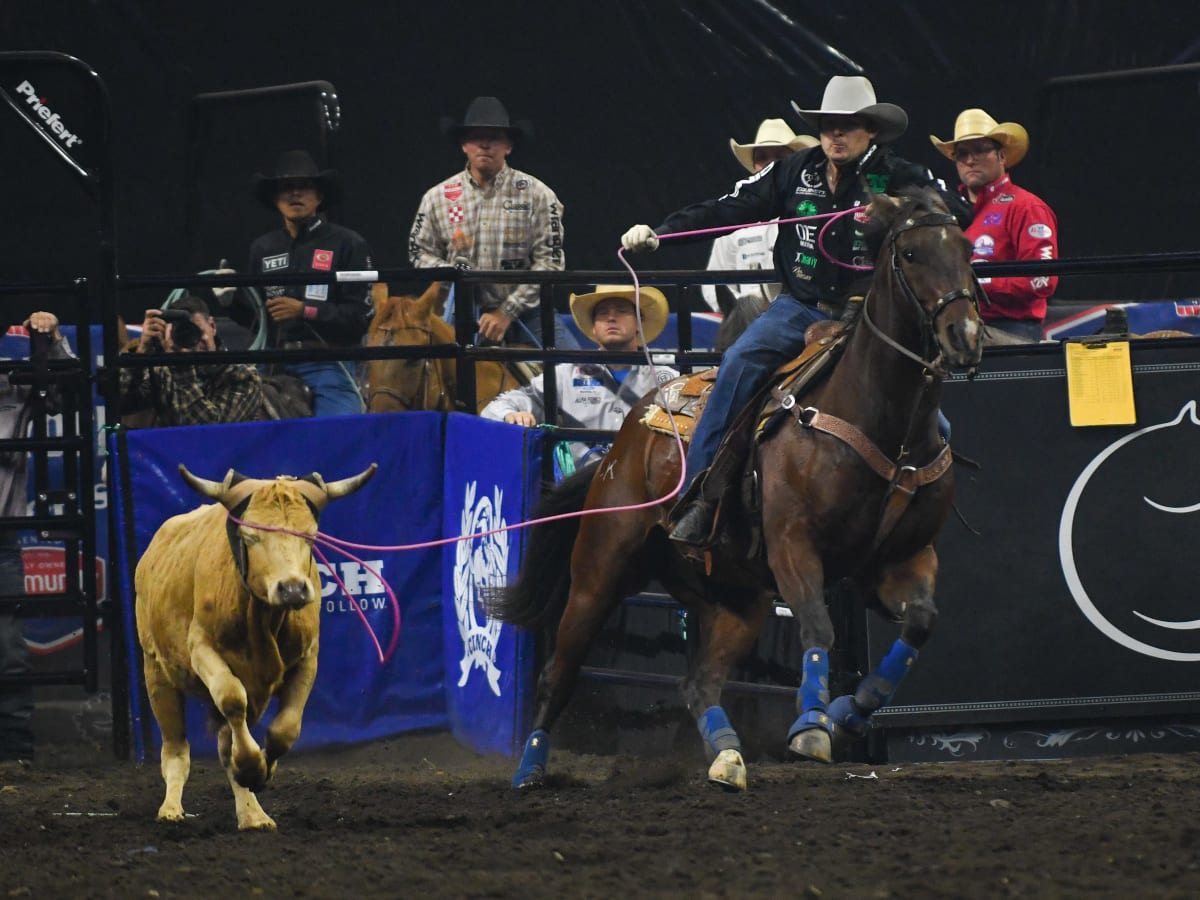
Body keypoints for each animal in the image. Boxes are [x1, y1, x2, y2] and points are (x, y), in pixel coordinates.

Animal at [487, 188, 984, 787]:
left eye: (966, 250)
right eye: (910, 253)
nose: (965, 337)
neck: (879, 419)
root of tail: (625, 438)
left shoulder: (901, 560)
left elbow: (920, 624)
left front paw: (847, 711)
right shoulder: (794, 544)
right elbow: (817, 626)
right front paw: (811, 725)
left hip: (736, 599)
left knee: (698, 681)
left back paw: (727, 756)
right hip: (598, 572)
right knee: (557, 672)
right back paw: (530, 770)